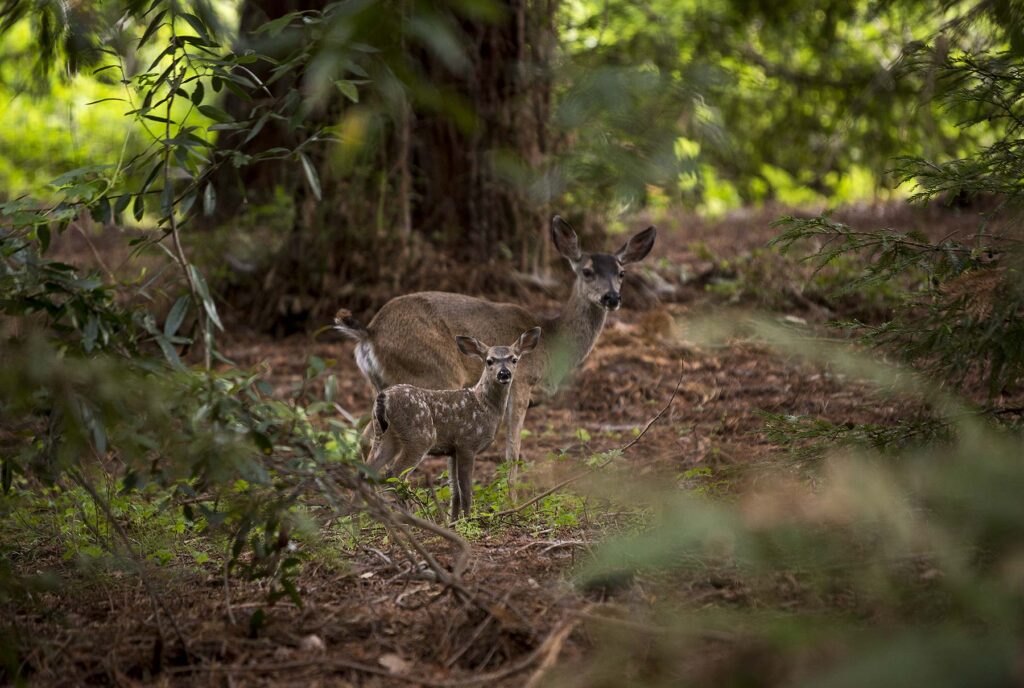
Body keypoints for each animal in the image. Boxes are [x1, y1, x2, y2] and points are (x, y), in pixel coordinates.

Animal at [335, 215, 657, 491]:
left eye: (621, 273)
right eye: (587, 271)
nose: (612, 297)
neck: (552, 344)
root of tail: (369, 333)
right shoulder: (521, 382)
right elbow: (512, 451)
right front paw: (512, 500)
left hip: (381, 386)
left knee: (365, 437)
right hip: (431, 373)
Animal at [368, 328, 542, 519]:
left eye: (514, 359)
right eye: (489, 360)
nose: (504, 373)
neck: (483, 405)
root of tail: (383, 397)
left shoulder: (451, 450)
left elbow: (454, 491)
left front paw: (454, 520)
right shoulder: (467, 443)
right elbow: (466, 490)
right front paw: (469, 519)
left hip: (383, 434)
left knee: (367, 470)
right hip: (419, 436)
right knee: (394, 474)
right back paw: (410, 515)